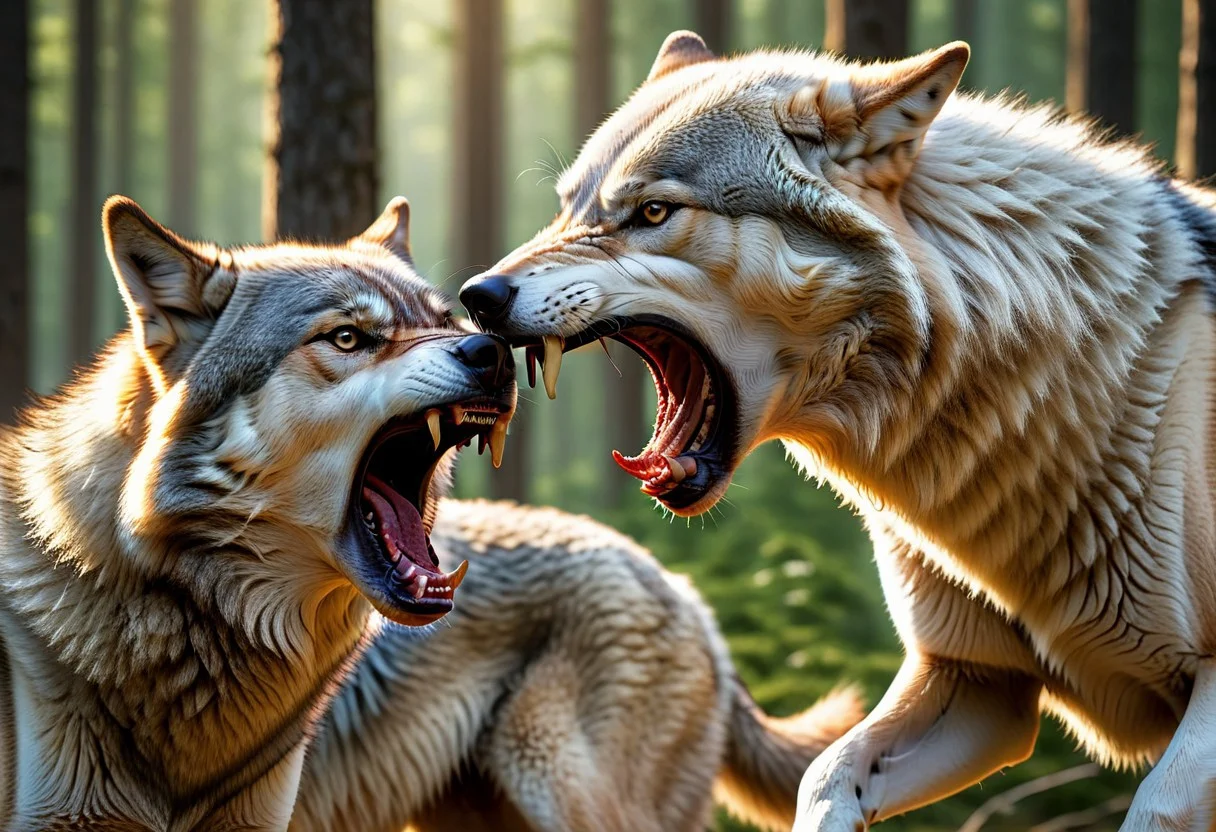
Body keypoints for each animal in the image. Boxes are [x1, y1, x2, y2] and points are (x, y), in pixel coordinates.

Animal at [460, 31, 1216, 831]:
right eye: (565, 208)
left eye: (655, 211)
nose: (478, 295)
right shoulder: (977, 683)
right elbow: (824, 774)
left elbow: (1156, 807)